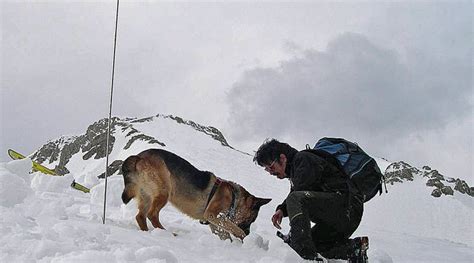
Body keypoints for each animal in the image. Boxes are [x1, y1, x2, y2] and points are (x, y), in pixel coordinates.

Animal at [120, 148, 272, 241]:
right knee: (152, 214)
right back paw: (168, 234)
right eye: (251, 220)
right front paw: (243, 237)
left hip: (146, 195)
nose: (249, 233)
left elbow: (225, 233)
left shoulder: (214, 223)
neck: (234, 198)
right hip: (164, 191)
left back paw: (147, 232)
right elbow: (233, 227)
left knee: (140, 216)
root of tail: (139, 156)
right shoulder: (212, 214)